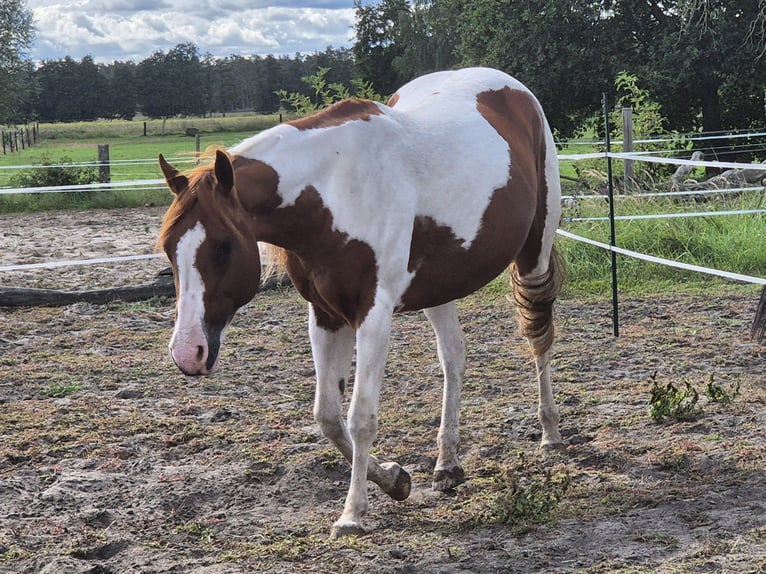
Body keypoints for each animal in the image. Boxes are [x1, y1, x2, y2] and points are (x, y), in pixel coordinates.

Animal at [156, 67, 566, 538]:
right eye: (168, 248)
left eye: (223, 245)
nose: (187, 352)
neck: (333, 190)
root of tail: (511, 89)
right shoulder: (325, 315)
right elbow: (328, 417)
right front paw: (394, 478)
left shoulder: (374, 315)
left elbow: (361, 417)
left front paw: (353, 513)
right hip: (439, 287)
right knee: (454, 358)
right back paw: (447, 464)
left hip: (534, 254)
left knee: (538, 336)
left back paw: (550, 433)